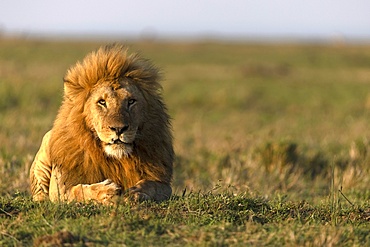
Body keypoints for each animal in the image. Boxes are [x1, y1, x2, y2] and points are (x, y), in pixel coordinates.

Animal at [29, 44, 174, 205]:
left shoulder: (164, 184)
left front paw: (135, 193)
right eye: (102, 102)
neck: (115, 160)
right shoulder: (59, 187)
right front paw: (106, 192)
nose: (119, 129)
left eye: (131, 101)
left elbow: (151, 185)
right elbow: (78, 191)